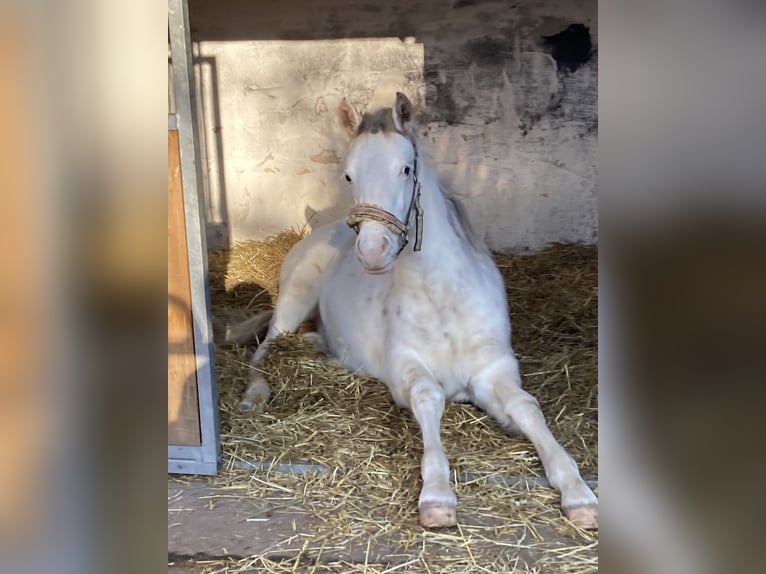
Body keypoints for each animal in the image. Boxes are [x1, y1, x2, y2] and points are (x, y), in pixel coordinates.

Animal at [236, 93, 600, 532]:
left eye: (405, 168)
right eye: (348, 176)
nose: (372, 251)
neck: (444, 300)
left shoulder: (494, 371)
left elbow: (527, 408)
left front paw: (578, 493)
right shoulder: (407, 369)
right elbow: (429, 397)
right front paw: (438, 496)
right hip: (294, 299)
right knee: (266, 349)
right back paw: (255, 396)